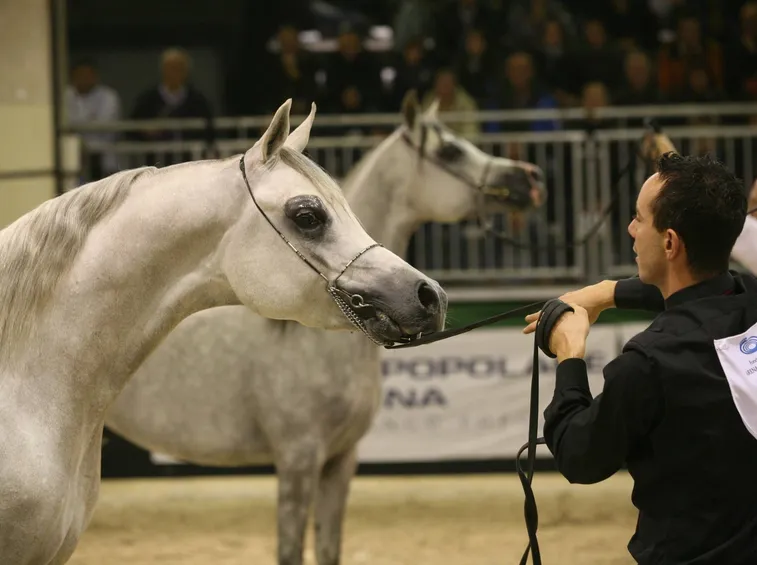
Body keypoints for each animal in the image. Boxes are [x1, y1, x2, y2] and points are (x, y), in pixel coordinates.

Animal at [102, 93, 546, 565]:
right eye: (450, 151)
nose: (530, 178)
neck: (312, 340)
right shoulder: (298, 459)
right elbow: (291, 549)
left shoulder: (340, 461)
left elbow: (330, 548)